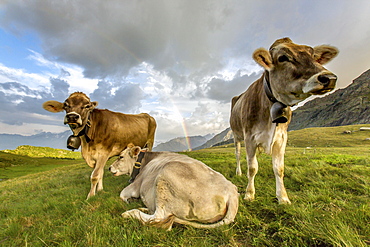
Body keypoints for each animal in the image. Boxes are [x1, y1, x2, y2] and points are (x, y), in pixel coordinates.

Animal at [108, 146, 238, 231]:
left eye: (121, 157)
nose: (109, 167)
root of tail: (232, 191)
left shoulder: (136, 184)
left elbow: (122, 194)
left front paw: (130, 200)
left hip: (165, 175)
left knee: (160, 217)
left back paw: (130, 213)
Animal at [230, 37, 340, 204]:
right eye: (283, 58)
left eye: (314, 56)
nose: (329, 78)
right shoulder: (250, 137)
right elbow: (252, 167)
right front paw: (249, 194)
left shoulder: (281, 138)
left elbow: (279, 168)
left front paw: (282, 197)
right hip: (237, 136)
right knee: (237, 154)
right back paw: (238, 172)